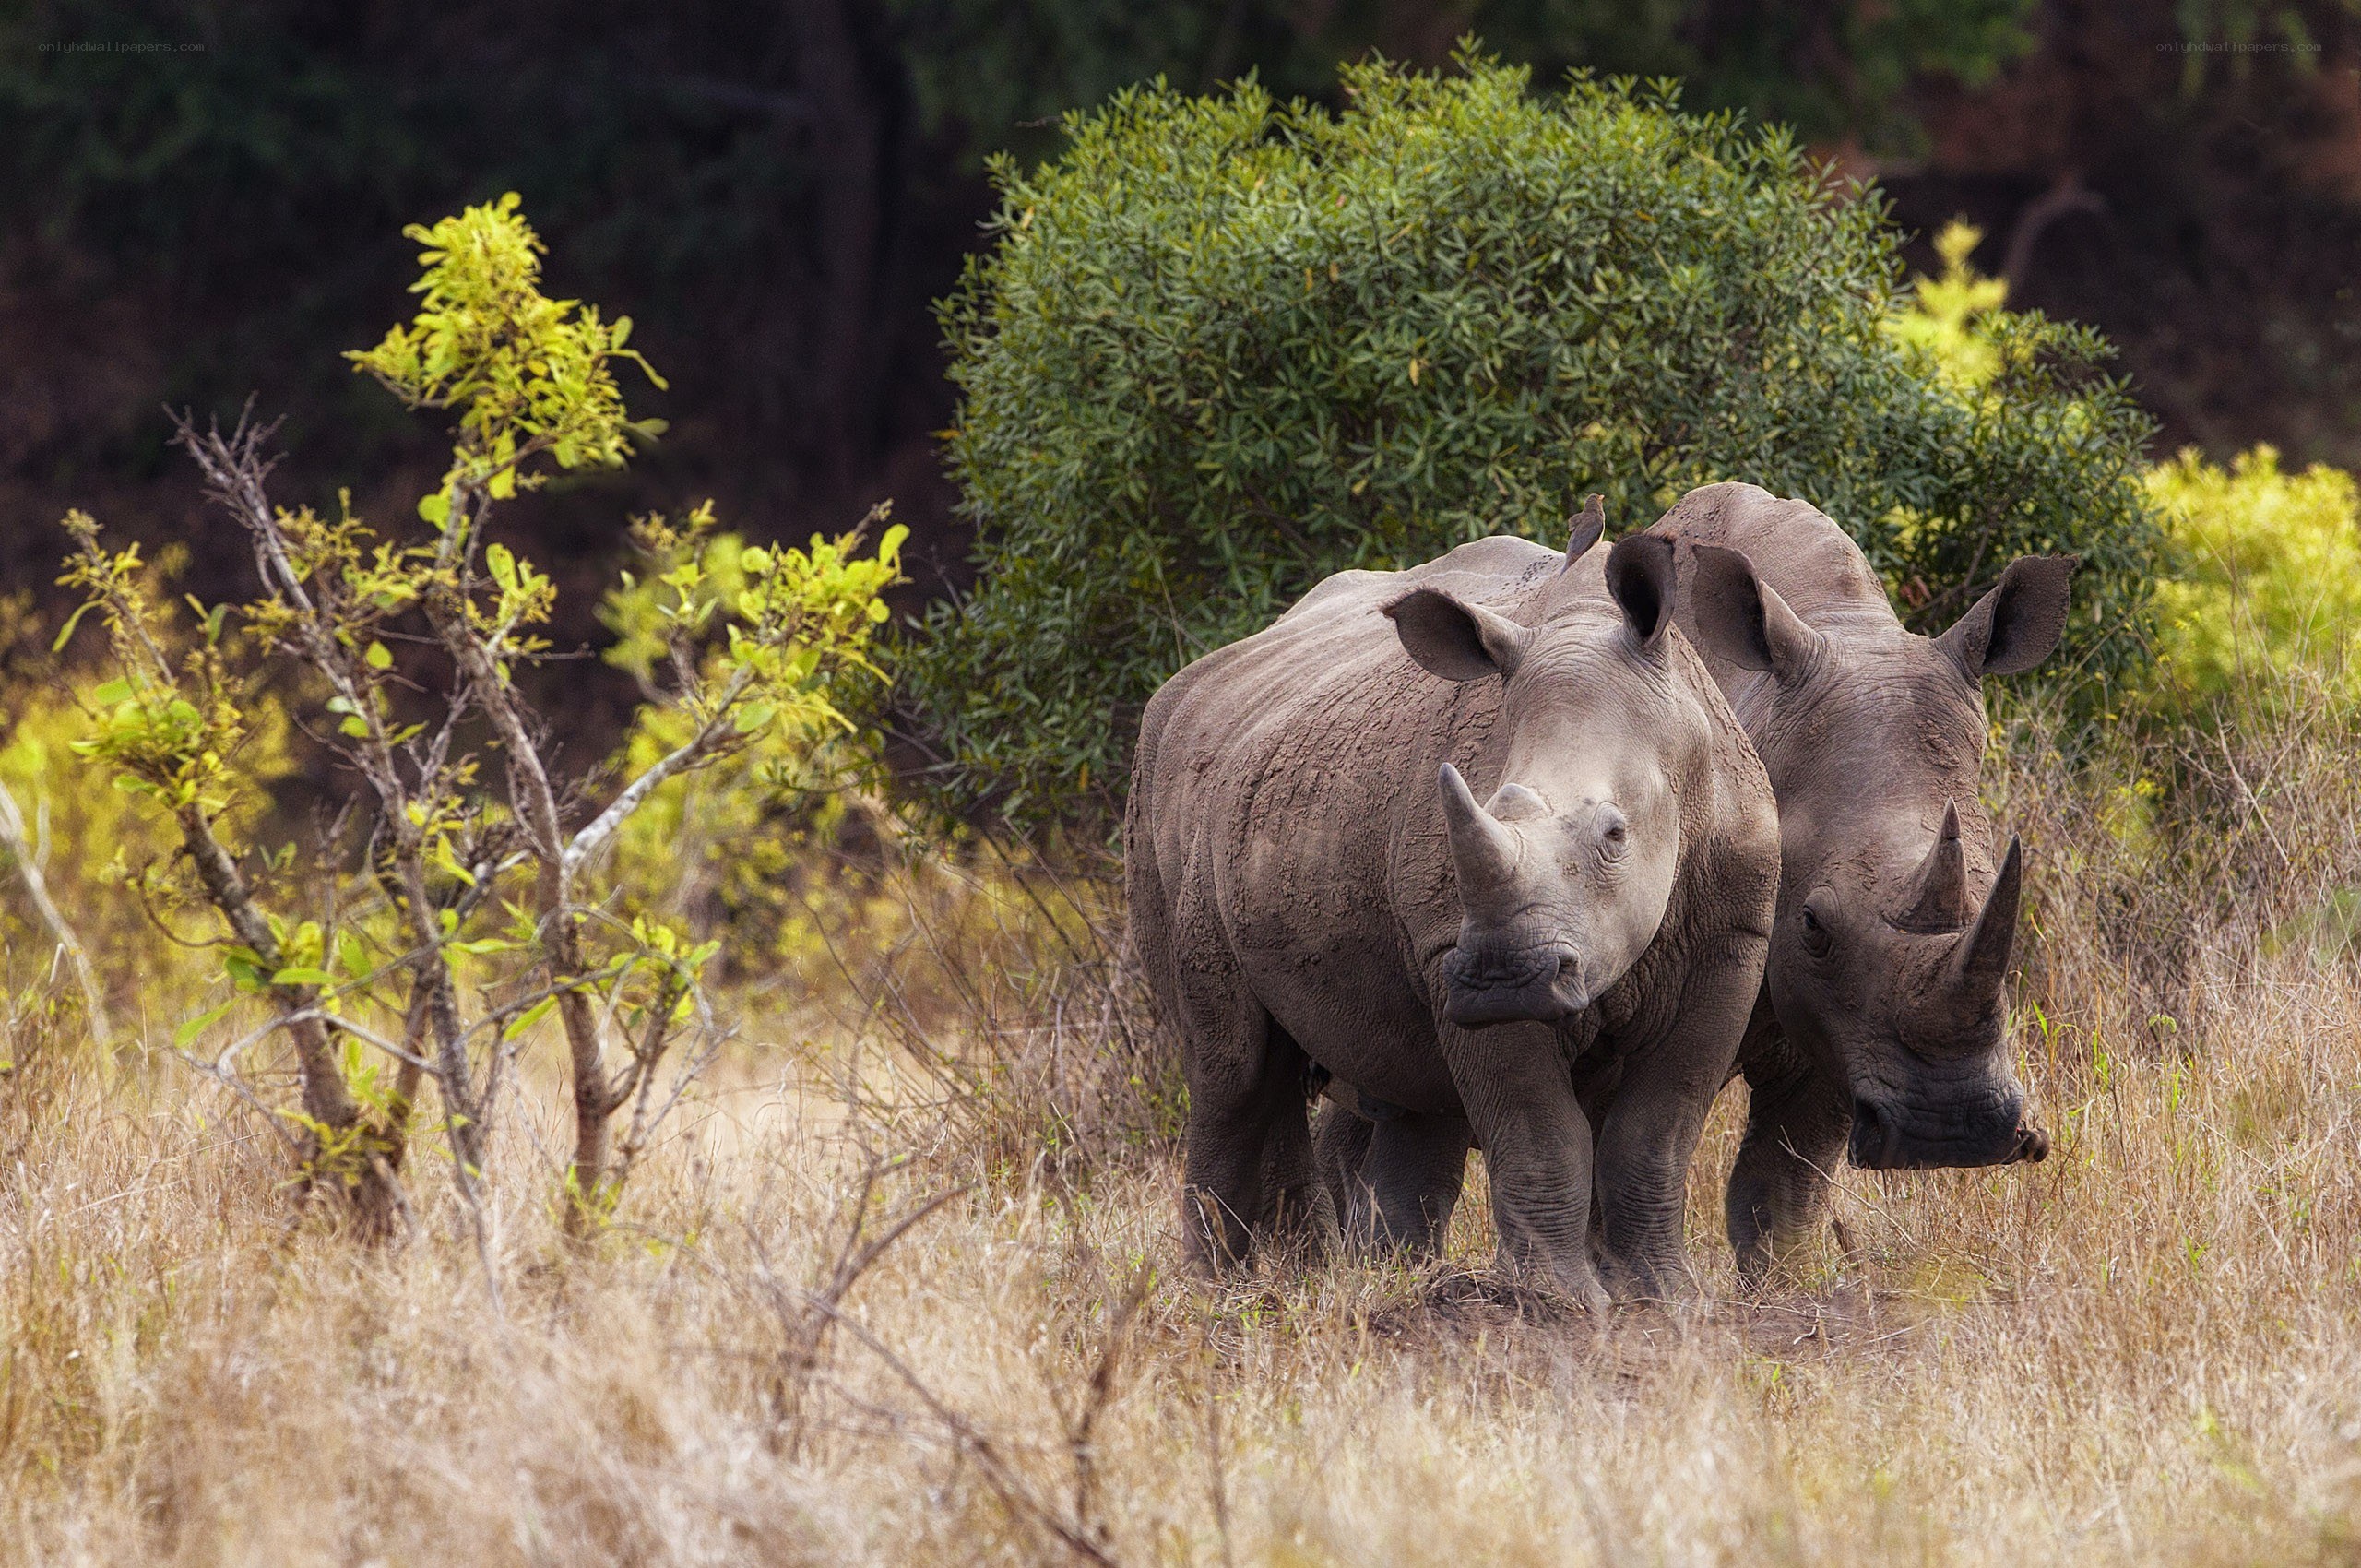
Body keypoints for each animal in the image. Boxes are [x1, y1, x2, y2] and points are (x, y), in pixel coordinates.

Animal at [1125, 503, 1782, 1308]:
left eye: (1615, 834)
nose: (1504, 981)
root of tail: (1193, 682)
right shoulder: (1450, 944)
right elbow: (1538, 1128)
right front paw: (1560, 1304)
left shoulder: (1733, 938)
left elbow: (1656, 1133)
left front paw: (1665, 1300)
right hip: (1166, 794)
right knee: (1233, 1069)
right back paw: (1218, 1294)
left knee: (1400, 1087)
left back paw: (1371, 1276)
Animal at [1653, 482, 2068, 1281]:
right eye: (1813, 924)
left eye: (2003, 902)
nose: (1951, 1133)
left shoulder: (1847, 1027)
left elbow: (1780, 1196)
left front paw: (1782, 1287)